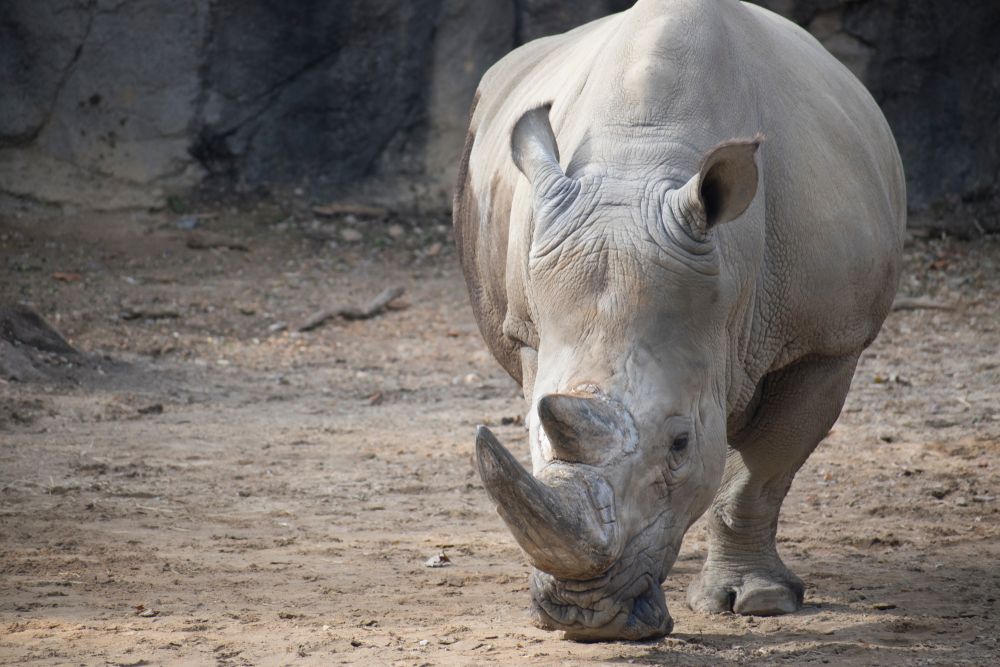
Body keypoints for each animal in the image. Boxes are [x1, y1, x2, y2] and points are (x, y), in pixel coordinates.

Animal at [453, 0, 905, 641]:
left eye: (680, 444)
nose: (585, 615)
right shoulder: (533, 333)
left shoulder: (828, 341)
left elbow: (763, 470)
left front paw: (757, 601)